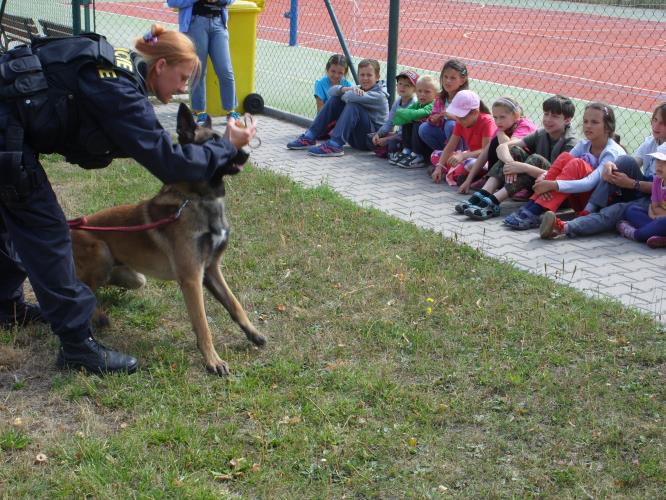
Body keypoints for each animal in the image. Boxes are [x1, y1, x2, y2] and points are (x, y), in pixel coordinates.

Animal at [73, 102, 268, 376]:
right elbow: (203, 324)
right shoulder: (192, 278)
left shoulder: (211, 269)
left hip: (134, 276)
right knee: (82, 286)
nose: (246, 154)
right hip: (101, 252)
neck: (197, 199)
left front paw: (253, 333)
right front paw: (213, 360)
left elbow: (234, 304)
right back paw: (96, 314)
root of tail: (71, 227)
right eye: (213, 142)